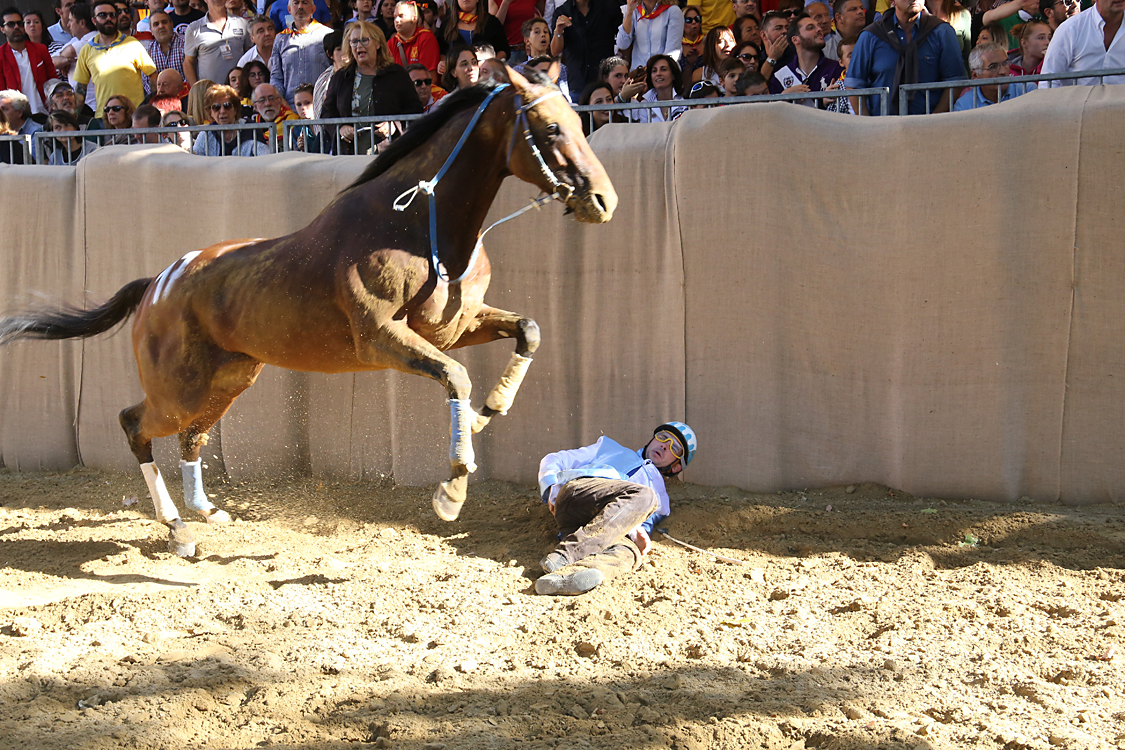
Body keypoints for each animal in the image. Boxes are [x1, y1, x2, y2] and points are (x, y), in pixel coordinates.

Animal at [0, 67, 616, 557]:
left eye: (579, 121)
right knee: (136, 425)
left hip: (229, 377)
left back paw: (206, 510)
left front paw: (492, 409)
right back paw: (178, 528)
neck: (418, 226)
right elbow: (457, 378)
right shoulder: (383, 339)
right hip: (178, 387)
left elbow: (528, 331)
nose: (603, 200)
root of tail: (158, 284)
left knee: (192, 437)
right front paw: (452, 489)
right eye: (552, 129)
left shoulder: (454, 327)